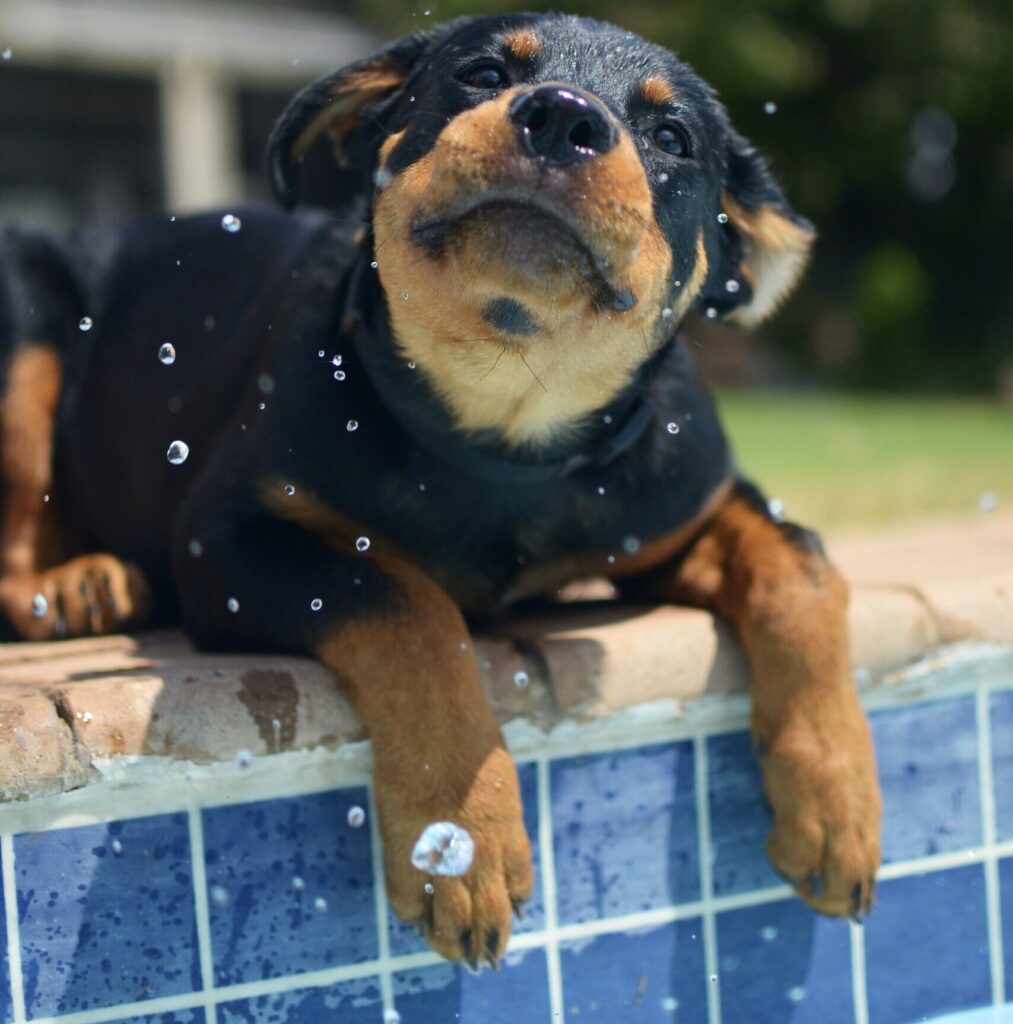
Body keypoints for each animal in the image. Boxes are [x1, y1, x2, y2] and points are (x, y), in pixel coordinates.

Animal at [0, 16, 876, 966]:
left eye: (672, 137)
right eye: (482, 74)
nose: (563, 117)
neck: (502, 424)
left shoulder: (687, 504)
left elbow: (803, 567)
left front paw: (837, 802)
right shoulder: (227, 537)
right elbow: (408, 604)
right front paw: (461, 838)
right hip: (24, 331)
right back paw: (72, 585)